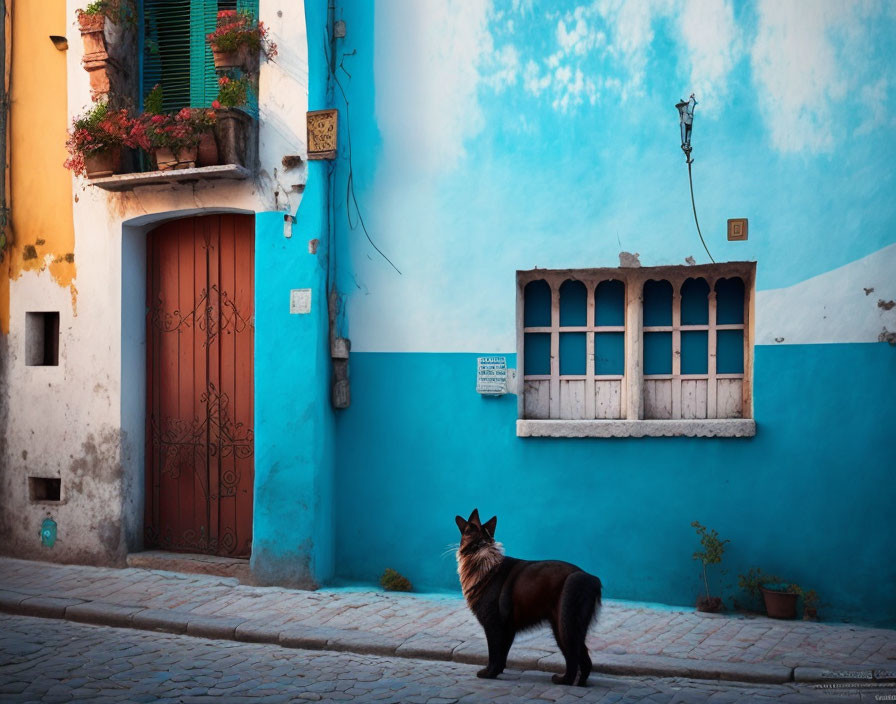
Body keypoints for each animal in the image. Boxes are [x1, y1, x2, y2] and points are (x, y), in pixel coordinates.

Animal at [456, 508, 600, 684]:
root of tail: (591, 578)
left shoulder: (493, 624)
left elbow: (494, 653)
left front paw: (488, 674)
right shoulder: (508, 628)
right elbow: (502, 655)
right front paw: (496, 673)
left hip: (566, 624)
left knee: (573, 658)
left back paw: (563, 680)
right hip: (565, 626)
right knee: (584, 659)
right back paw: (578, 683)